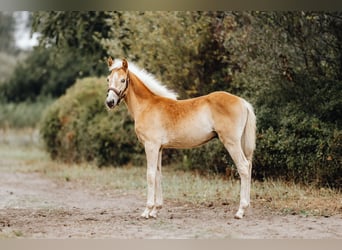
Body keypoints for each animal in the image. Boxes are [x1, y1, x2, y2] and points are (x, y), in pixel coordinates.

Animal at [105, 57, 255, 218]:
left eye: (122, 80)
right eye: (108, 79)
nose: (110, 102)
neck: (147, 106)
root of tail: (243, 102)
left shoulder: (151, 146)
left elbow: (150, 175)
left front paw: (147, 210)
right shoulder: (159, 148)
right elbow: (158, 175)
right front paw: (155, 210)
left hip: (231, 142)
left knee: (243, 167)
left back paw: (240, 210)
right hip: (241, 143)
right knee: (249, 165)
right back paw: (246, 207)